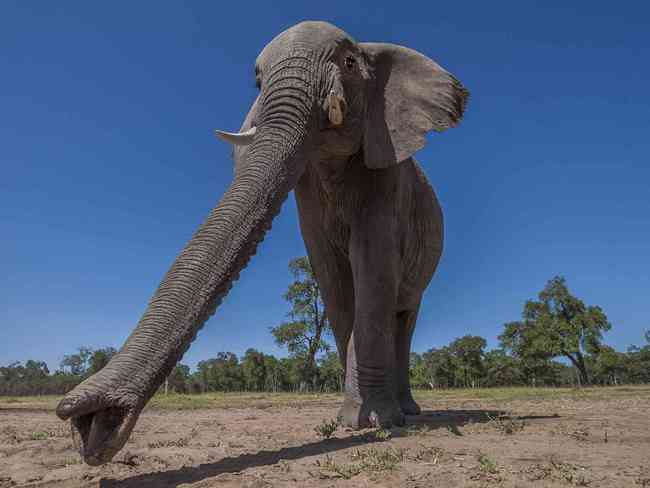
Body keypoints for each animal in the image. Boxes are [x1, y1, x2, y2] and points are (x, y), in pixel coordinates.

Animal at [55, 21, 466, 466]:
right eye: (256, 81)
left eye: (349, 62)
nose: (90, 425)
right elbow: (333, 280)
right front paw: (350, 421)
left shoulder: (387, 174)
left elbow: (371, 269)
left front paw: (374, 423)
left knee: (404, 317)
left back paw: (408, 412)